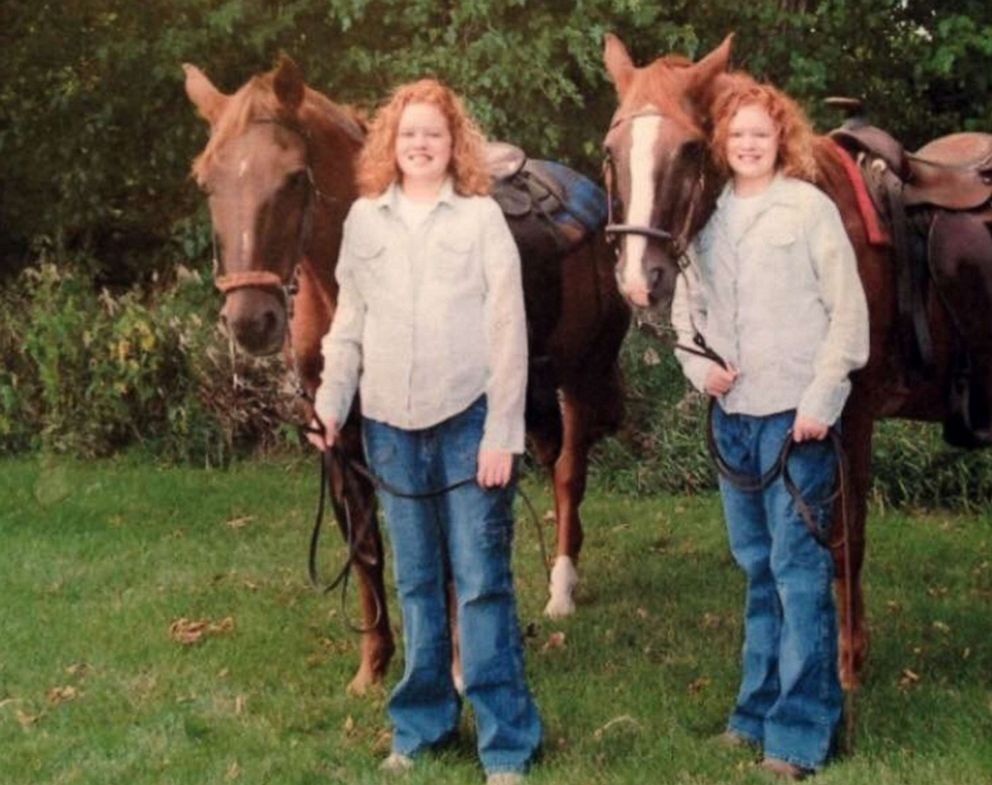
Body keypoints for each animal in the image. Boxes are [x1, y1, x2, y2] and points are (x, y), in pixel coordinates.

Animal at [185, 56, 628, 692]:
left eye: (293, 178)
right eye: (207, 182)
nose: (251, 320)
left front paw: (457, 667)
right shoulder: (340, 434)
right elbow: (366, 545)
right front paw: (373, 666)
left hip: (580, 378)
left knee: (569, 474)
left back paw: (561, 591)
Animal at [600, 35, 972, 688]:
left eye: (690, 149)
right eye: (610, 151)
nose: (640, 280)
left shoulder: (847, 415)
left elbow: (844, 537)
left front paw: (846, 668)